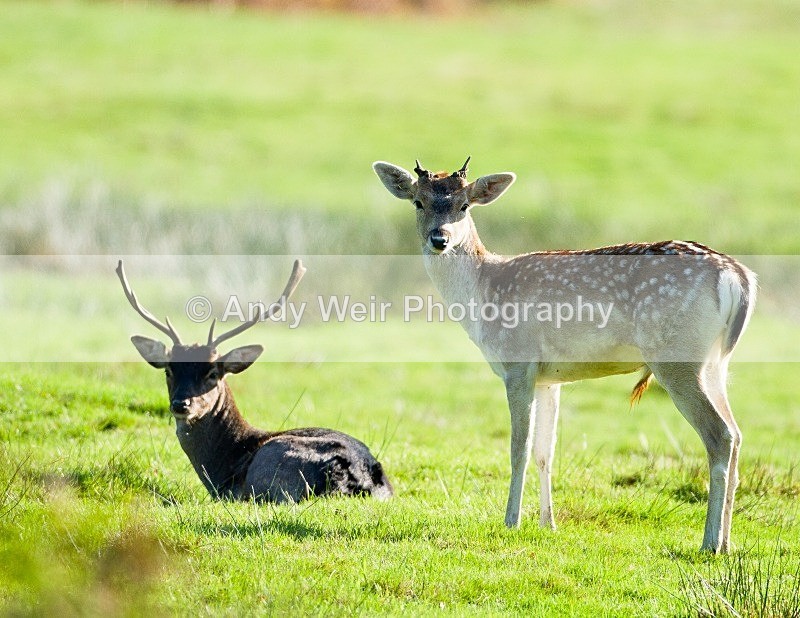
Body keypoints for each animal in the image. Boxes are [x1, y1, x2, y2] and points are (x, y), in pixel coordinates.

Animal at [116, 259, 393, 503]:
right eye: (168, 371)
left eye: (213, 373)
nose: (181, 404)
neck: (225, 463)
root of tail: (362, 476)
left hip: (276, 465)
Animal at [373, 157, 756, 553]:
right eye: (418, 202)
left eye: (464, 205)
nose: (440, 239)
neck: (483, 294)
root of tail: (738, 276)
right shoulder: (549, 377)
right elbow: (546, 450)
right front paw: (548, 523)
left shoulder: (518, 362)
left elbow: (520, 447)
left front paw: (511, 521)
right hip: (715, 363)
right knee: (737, 433)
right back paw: (728, 542)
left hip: (677, 358)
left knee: (719, 435)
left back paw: (710, 542)